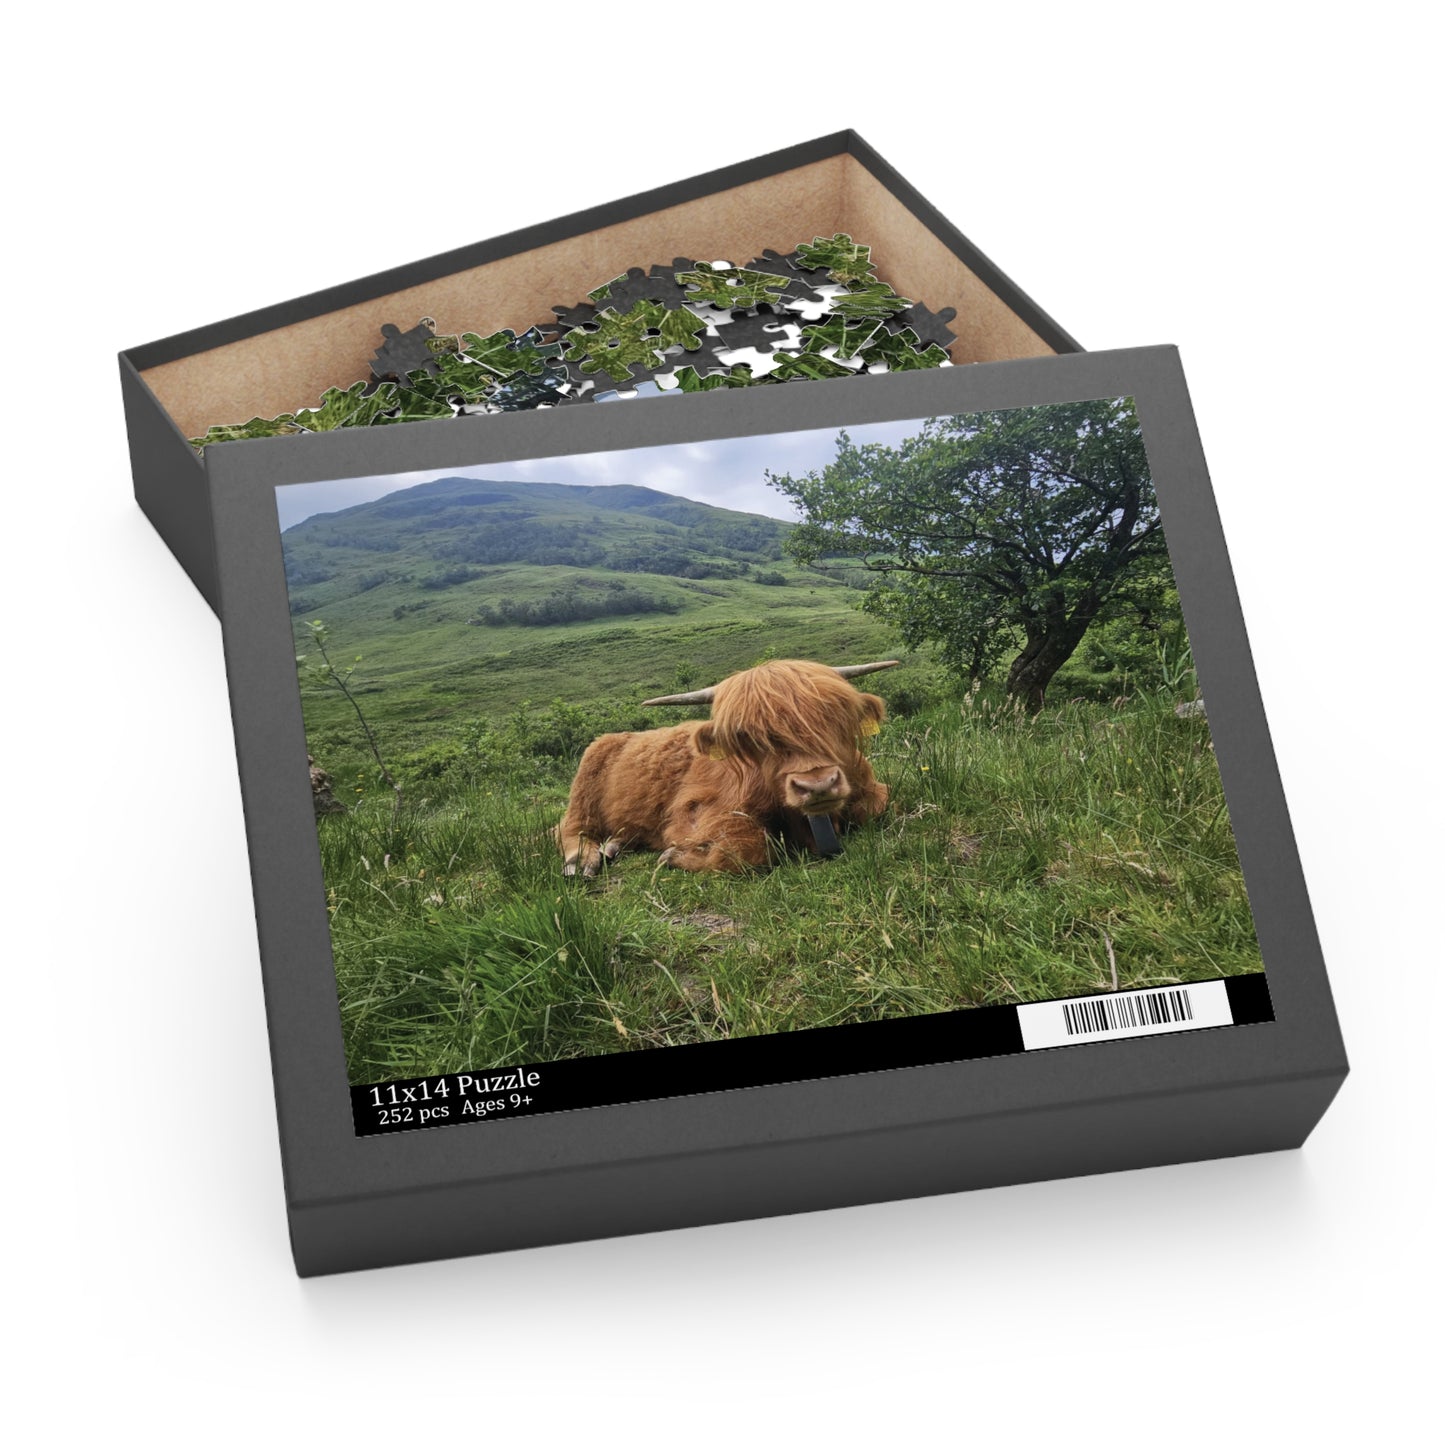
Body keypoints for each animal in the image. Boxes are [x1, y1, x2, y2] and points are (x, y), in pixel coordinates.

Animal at [556, 659, 897, 876]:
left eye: (833, 716)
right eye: (748, 735)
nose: (818, 785)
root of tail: (616, 735)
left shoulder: (869, 788)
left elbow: (874, 806)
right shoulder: (693, 811)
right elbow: (751, 848)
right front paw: (674, 856)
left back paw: (613, 846)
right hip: (584, 788)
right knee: (570, 827)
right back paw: (583, 860)